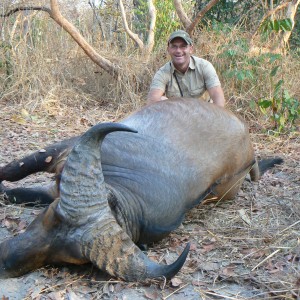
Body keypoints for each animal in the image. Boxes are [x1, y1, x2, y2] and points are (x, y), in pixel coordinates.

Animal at [0, 98, 282, 282]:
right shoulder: (57, 154)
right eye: (50, 216)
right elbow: (14, 173)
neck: (124, 181)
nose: (5, 261)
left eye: (66, 258)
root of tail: (250, 149)